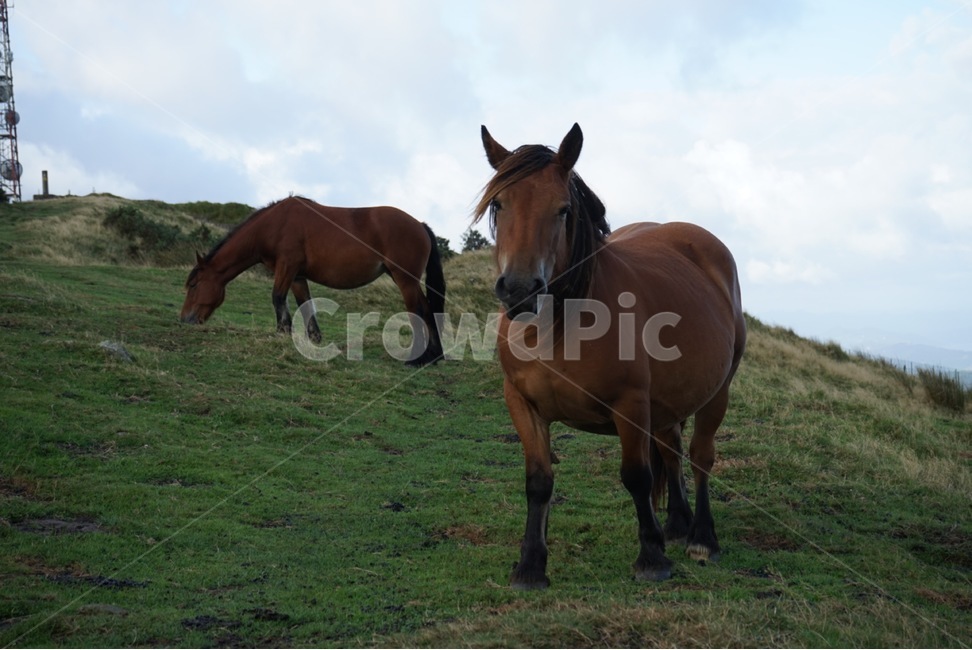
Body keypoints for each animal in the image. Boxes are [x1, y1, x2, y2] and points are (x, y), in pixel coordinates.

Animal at [180, 196, 446, 365]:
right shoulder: (297, 276)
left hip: (405, 279)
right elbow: (305, 304)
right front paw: (314, 339)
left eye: (193, 285)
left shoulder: (286, 267)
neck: (274, 224)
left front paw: (282, 332)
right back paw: (434, 356)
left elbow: (278, 298)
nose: (185, 319)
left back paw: (418, 358)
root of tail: (420, 225)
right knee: (427, 309)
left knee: (418, 310)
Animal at [475, 124, 746, 589]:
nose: (520, 290)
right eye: (498, 203)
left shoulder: (630, 405)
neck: (557, 327)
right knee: (672, 450)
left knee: (700, 457)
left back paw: (701, 538)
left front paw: (652, 558)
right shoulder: (522, 403)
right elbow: (538, 481)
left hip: (717, 393)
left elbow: (636, 477)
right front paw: (530, 565)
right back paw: (677, 524)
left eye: (563, 209)